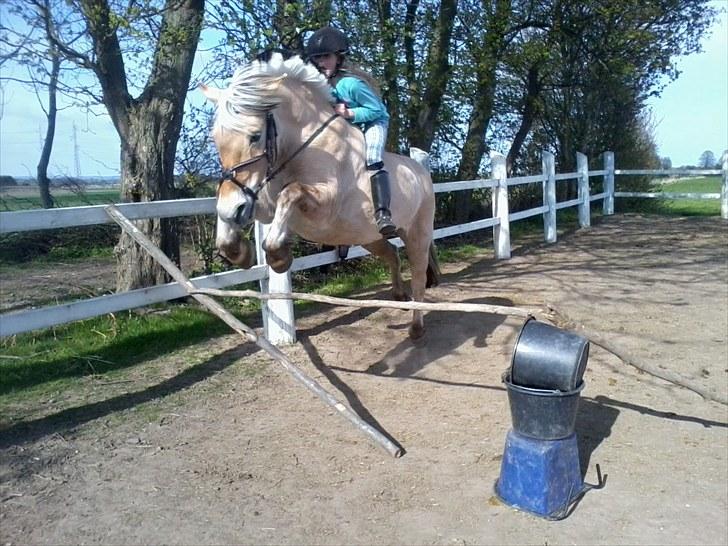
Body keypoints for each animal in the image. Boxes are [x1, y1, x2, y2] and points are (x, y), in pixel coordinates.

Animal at [200, 53, 438, 338]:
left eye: (255, 136)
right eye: (216, 137)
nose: (235, 208)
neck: (303, 146)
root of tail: (422, 171)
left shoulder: (324, 208)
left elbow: (290, 193)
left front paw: (278, 258)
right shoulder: (263, 203)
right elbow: (229, 214)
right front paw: (239, 253)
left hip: (417, 234)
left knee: (419, 275)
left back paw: (416, 326)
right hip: (369, 237)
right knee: (392, 253)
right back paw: (399, 296)